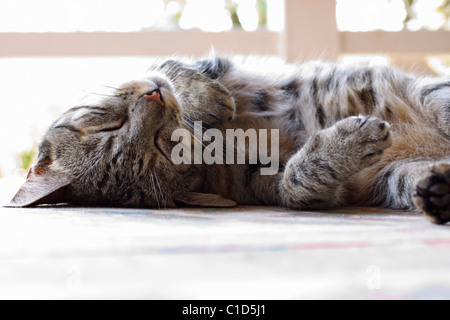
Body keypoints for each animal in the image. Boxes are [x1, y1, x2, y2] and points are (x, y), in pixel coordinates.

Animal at [9, 55, 450, 224]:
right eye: (163, 146)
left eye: (109, 125)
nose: (155, 96)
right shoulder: (282, 186)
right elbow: (300, 181)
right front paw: (343, 143)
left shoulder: (207, 65)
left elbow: (176, 66)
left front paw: (207, 100)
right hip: (398, 177)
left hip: (434, 95)